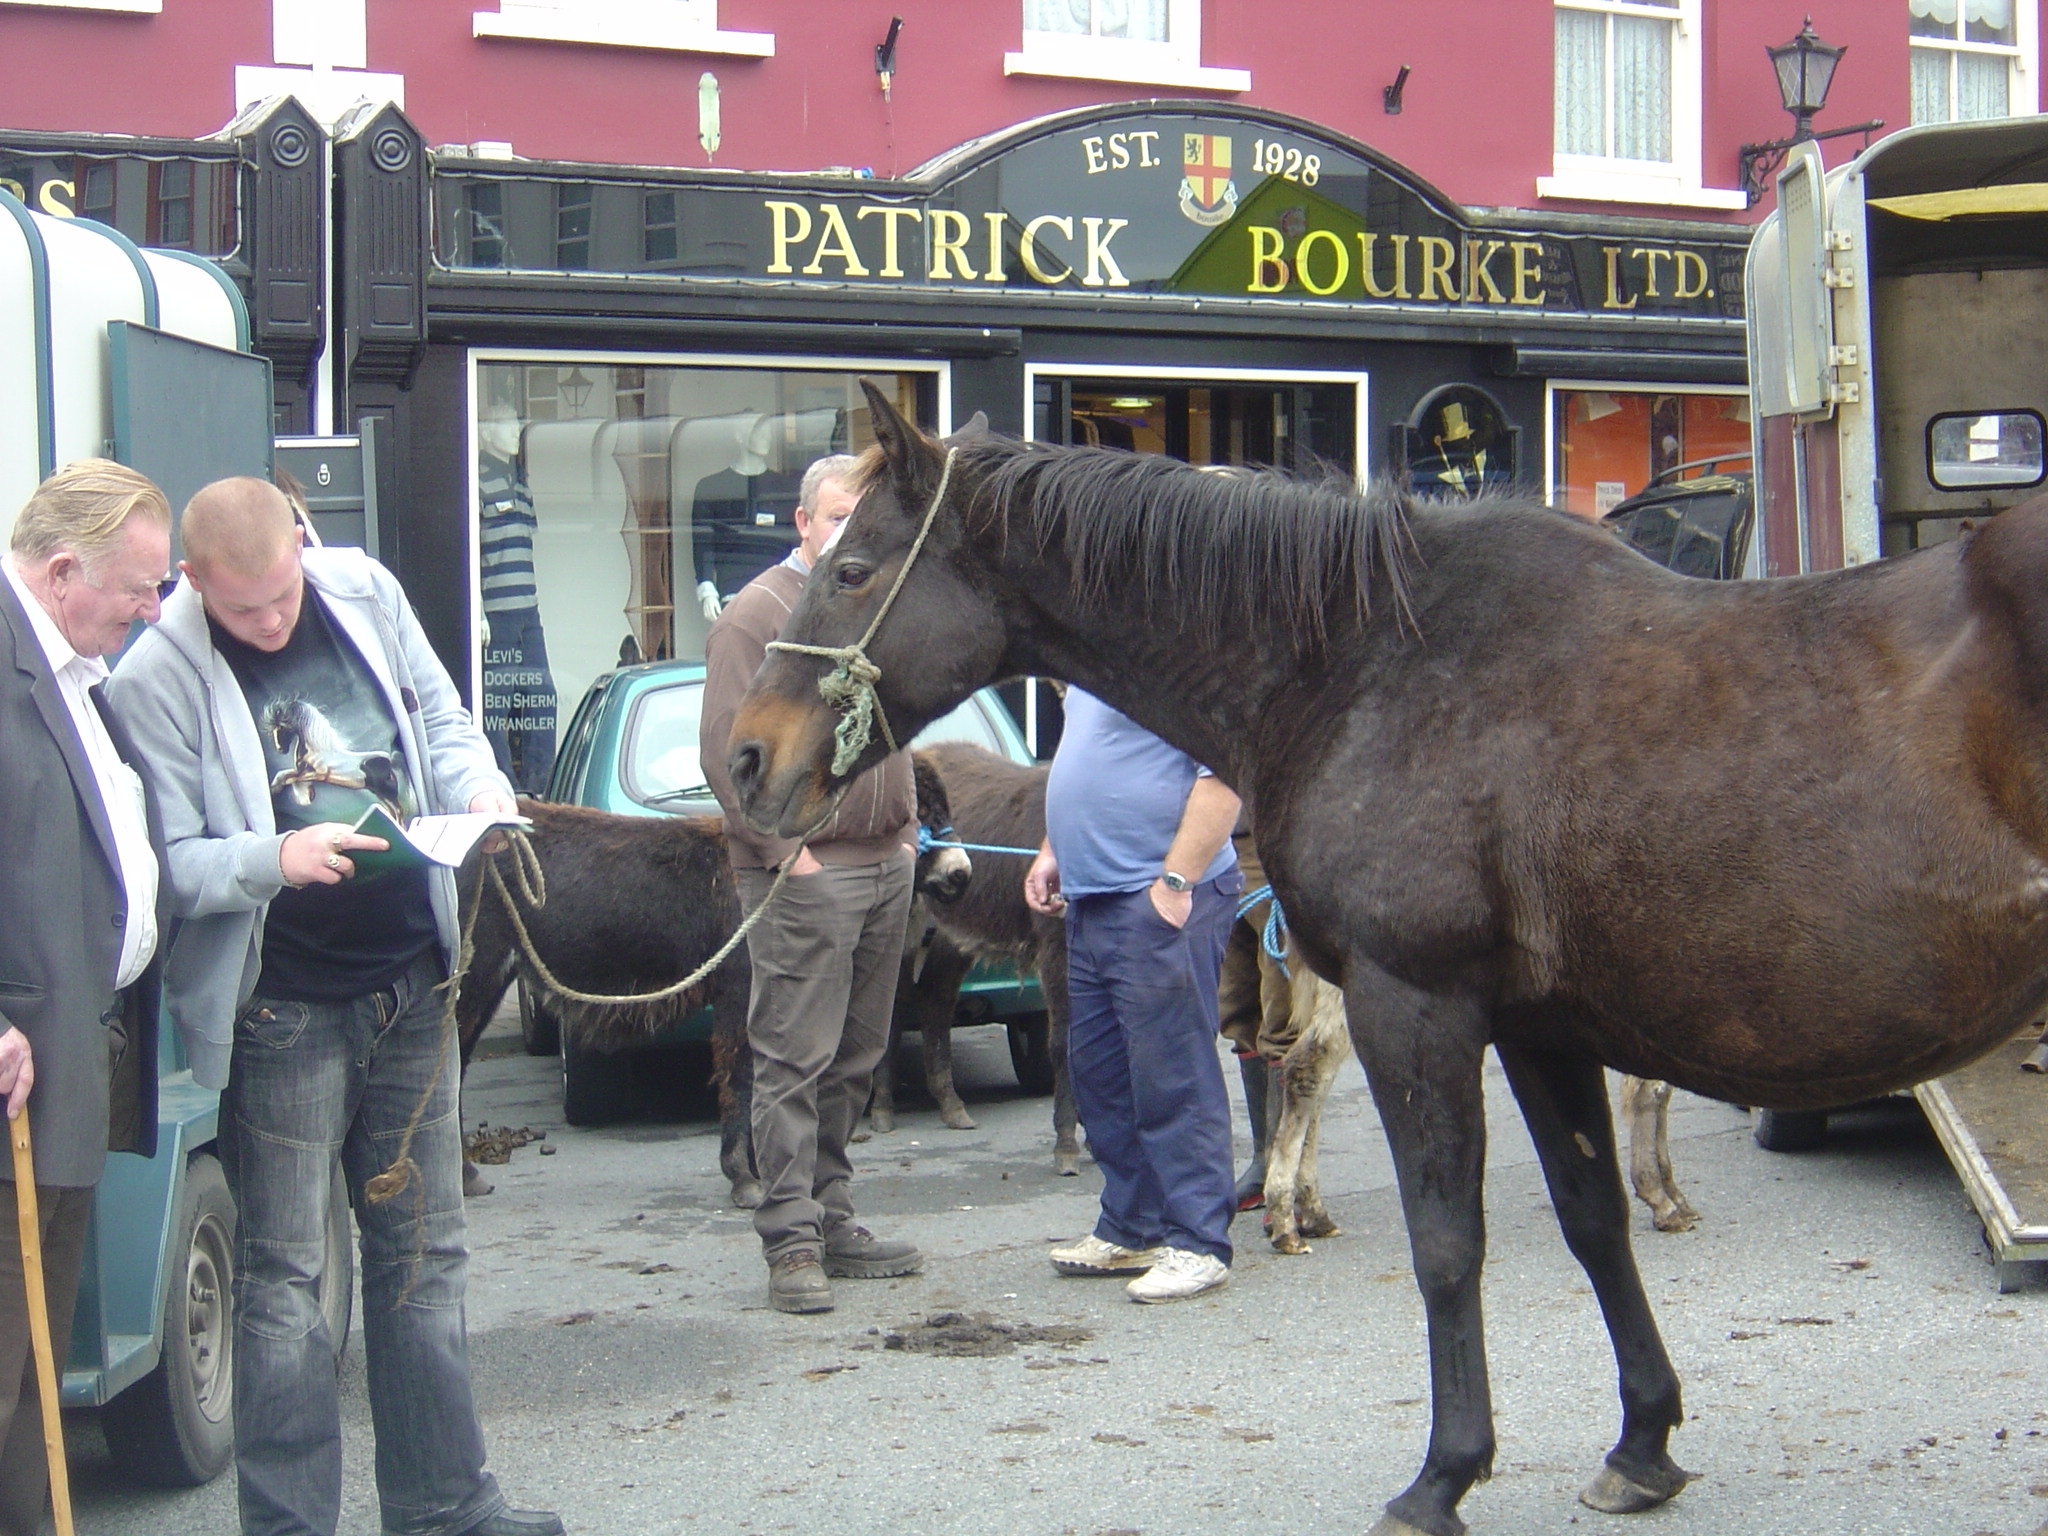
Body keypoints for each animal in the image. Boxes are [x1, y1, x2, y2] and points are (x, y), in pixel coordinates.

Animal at [724, 385, 2048, 1536]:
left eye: (850, 571)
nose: (742, 761)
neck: (1362, 662)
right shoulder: (1537, 1027)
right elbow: (1592, 1221)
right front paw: (1641, 1445)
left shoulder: (1415, 1007)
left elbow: (1445, 1241)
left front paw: (1441, 1478)